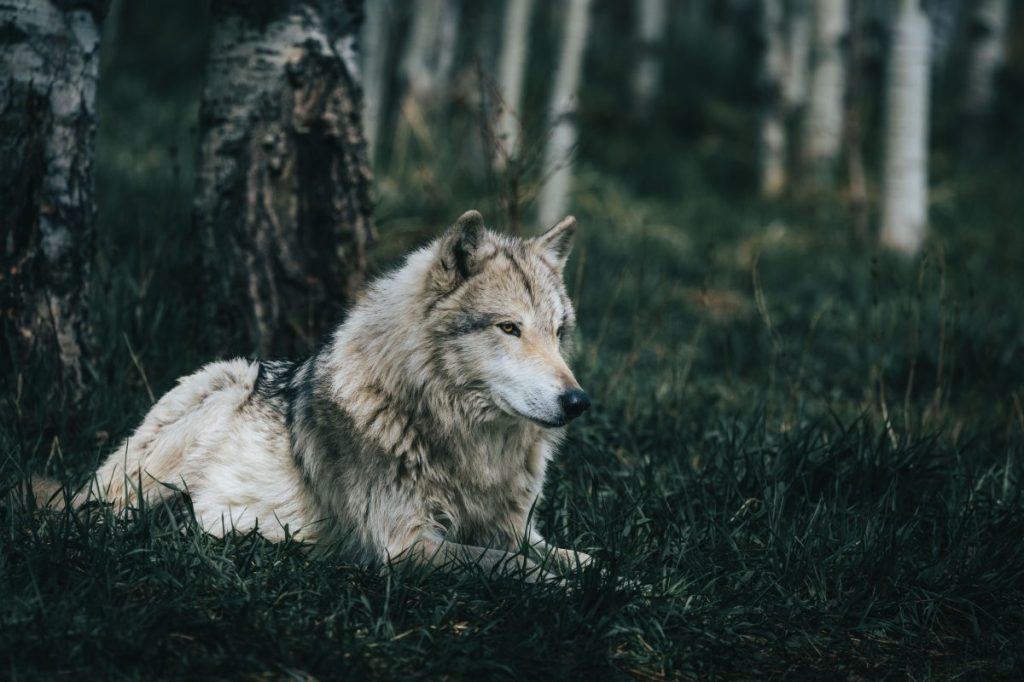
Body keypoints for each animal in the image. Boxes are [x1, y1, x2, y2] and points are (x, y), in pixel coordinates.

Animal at [34, 210, 593, 577]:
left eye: (557, 332)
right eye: (509, 328)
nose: (578, 402)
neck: (468, 446)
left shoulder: (516, 529)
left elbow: (577, 557)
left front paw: (608, 578)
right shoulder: (404, 546)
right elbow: (515, 567)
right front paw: (564, 589)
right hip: (219, 394)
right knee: (111, 515)